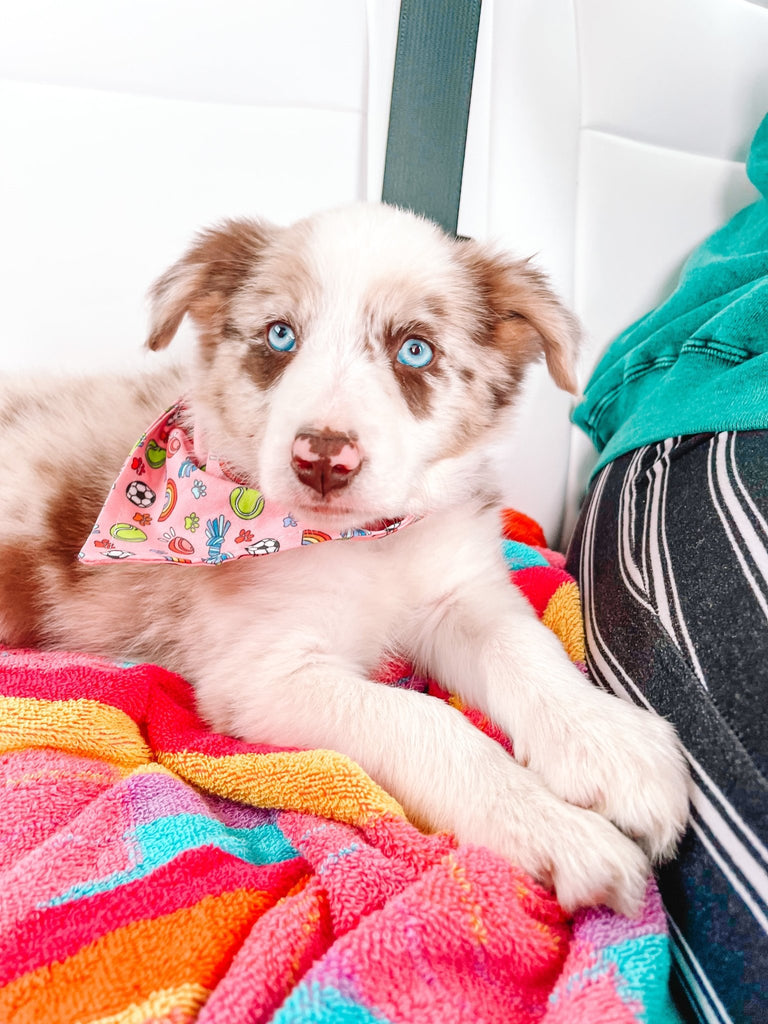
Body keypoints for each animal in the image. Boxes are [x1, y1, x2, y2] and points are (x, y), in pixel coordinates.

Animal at [0, 199, 688, 913]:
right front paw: (552, 826)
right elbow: (425, 720)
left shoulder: (461, 593)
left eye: (414, 350)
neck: (366, 542)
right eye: (280, 337)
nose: (323, 459)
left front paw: (607, 743)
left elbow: (525, 650)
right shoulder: (263, 674)